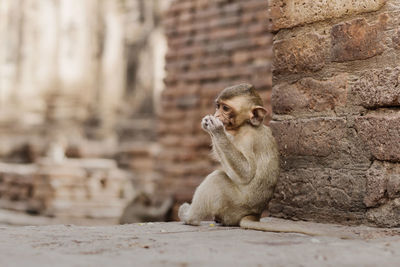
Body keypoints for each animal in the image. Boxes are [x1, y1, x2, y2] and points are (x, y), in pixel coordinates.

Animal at [179, 83, 340, 237]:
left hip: (233, 206)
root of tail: (253, 214)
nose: (216, 114)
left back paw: (189, 217)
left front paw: (216, 130)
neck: (245, 125)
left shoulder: (248, 139)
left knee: (216, 178)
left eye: (225, 108)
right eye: (218, 106)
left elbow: (246, 173)